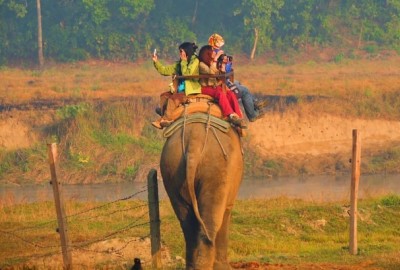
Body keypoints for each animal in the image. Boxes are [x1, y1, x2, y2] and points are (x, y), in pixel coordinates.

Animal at [160, 114, 244, 270]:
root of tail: (194, 140)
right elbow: (227, 211)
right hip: (216, 168)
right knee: (210, 220)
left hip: (172, 168)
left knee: (186, 221)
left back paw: (193, 266)